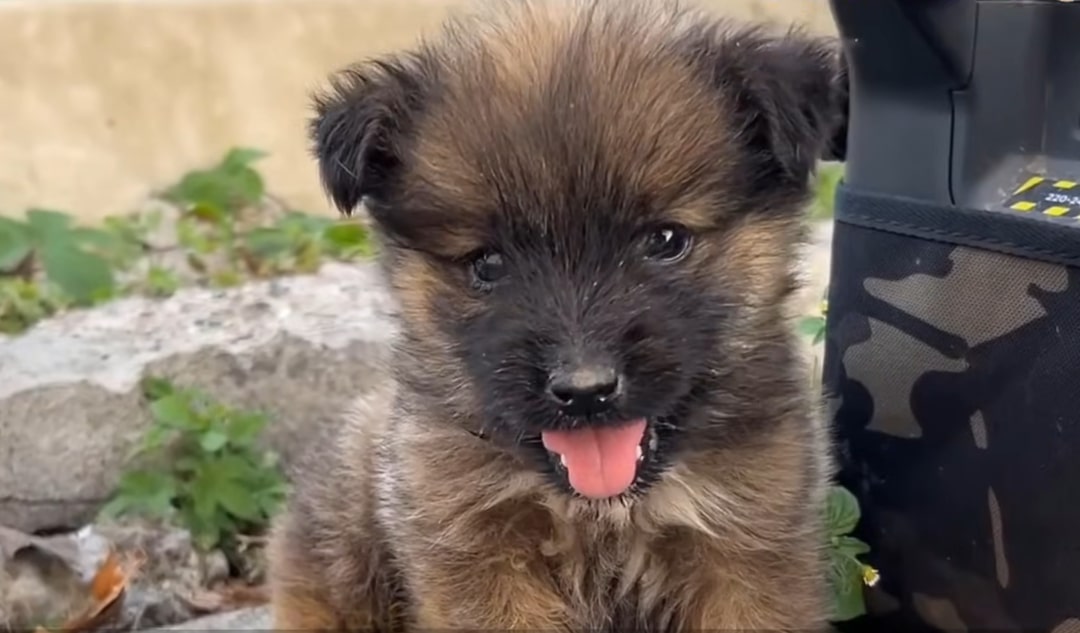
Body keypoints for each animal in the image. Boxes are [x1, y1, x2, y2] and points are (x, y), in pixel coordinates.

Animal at [265, 0, 846, 626]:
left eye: (666, 240)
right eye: (488, 263)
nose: (585, 391)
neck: (602, 512)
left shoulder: (747, 547)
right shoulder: (478, 549)